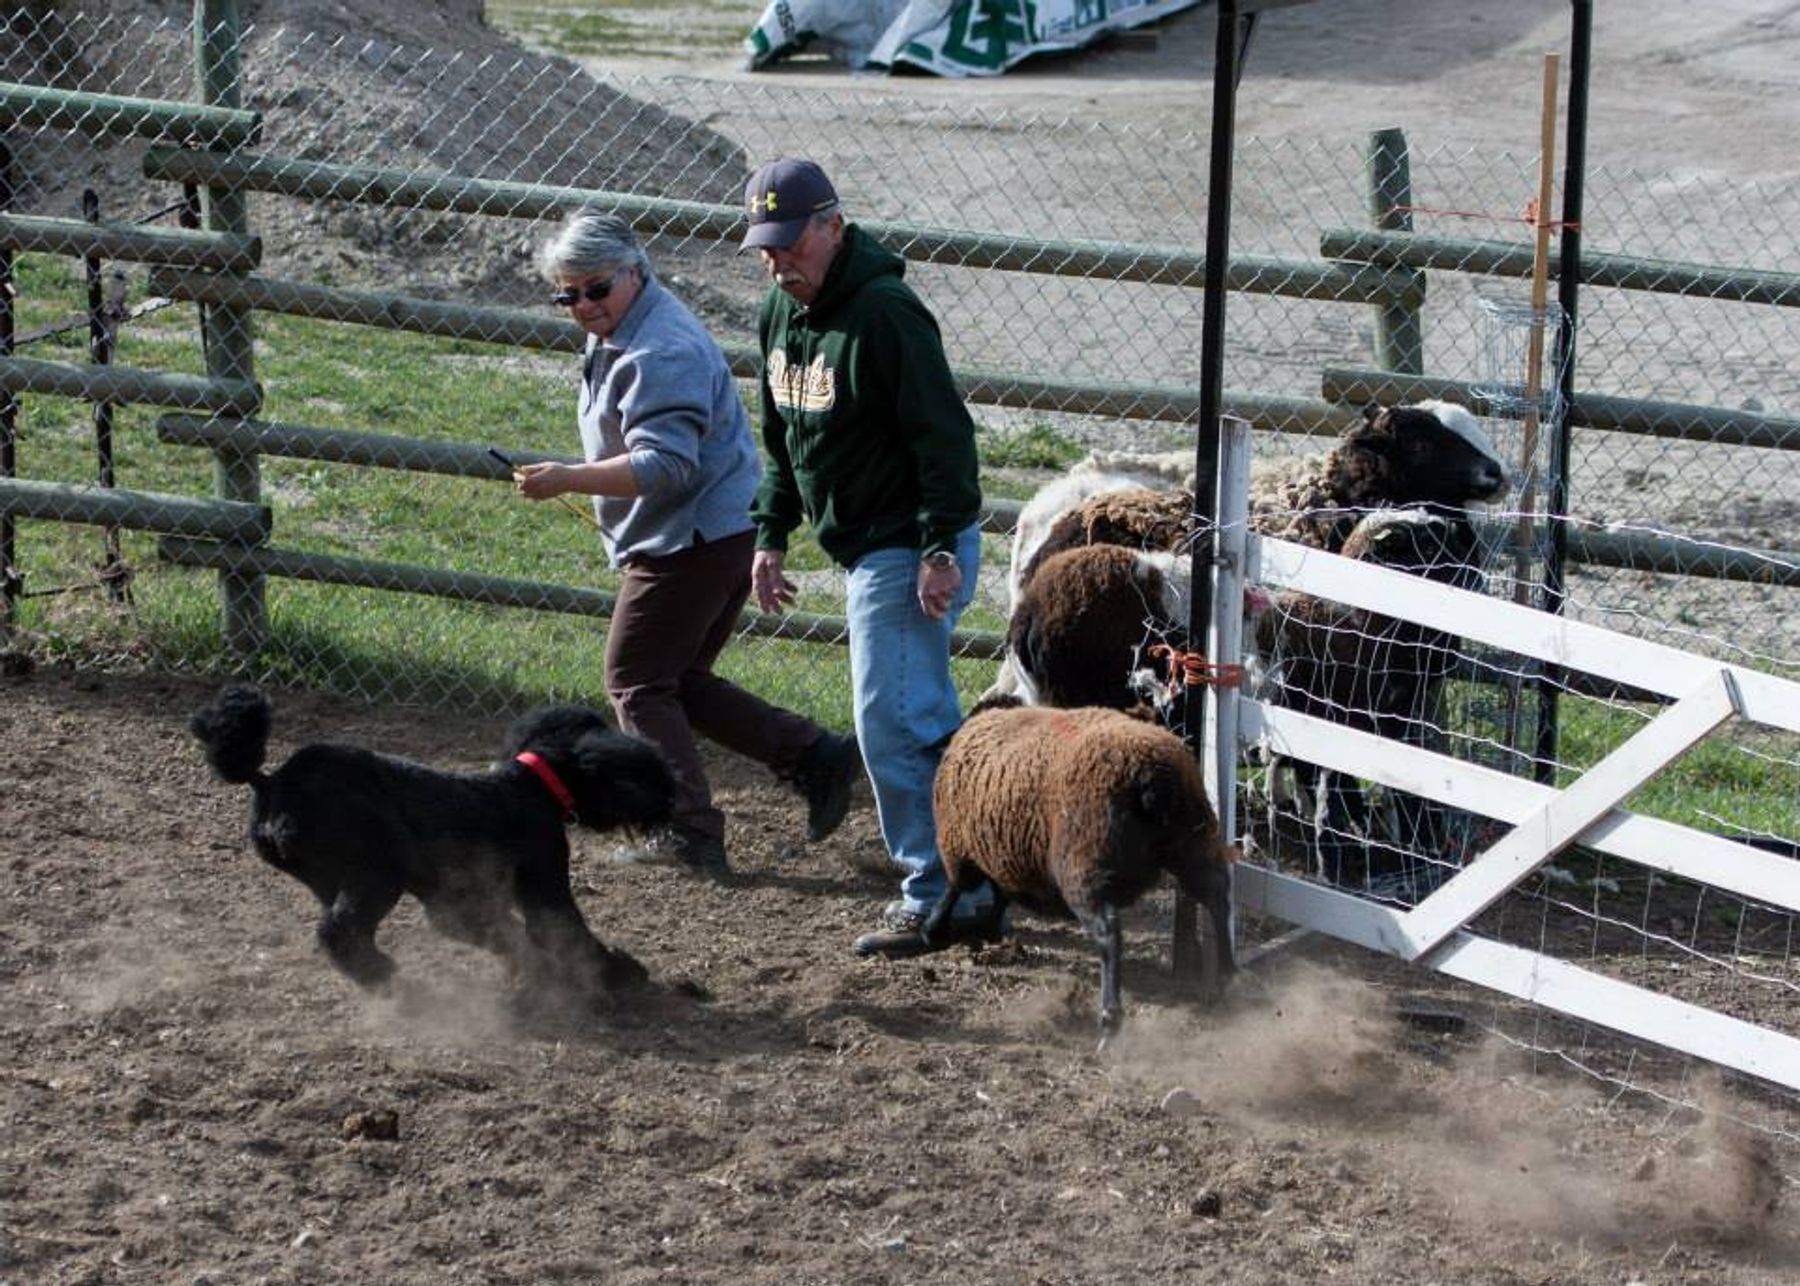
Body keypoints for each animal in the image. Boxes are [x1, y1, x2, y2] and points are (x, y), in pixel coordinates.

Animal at [928, 695, 1238, 1030]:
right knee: (1218, 898)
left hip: (1085, 867)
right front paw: (987, 927)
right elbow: (998, 893)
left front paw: (933, 929)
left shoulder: (958, 845)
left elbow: (955, 888)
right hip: (1194, 845)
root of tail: (1155, 779)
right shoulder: (1001, 854)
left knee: (1109, 932)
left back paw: (1109, 1015)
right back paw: (1228, 975)